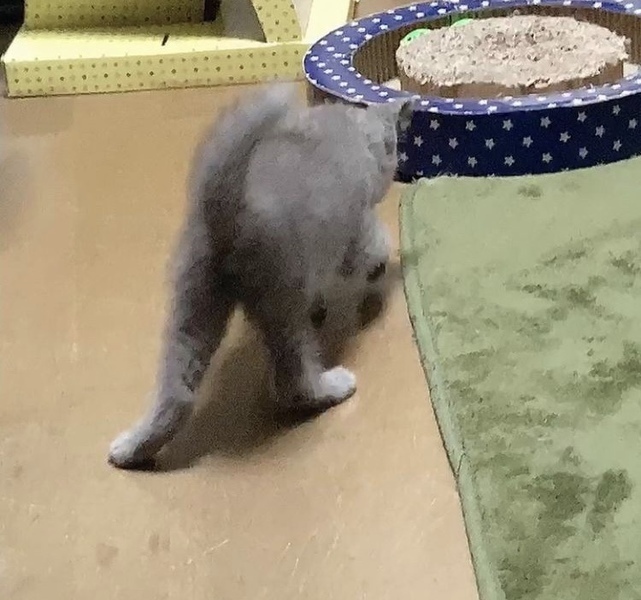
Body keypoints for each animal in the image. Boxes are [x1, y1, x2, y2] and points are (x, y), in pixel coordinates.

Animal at [108, 85, 413, 469]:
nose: (395, 164)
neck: (346, 129)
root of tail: (224, 209)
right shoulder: (357, 230)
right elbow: (375, 251)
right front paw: (377, 281)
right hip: (280, 297)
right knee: (291, 381)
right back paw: (333, 387)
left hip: (194, 300)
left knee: (177, 392)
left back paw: (130, 448)